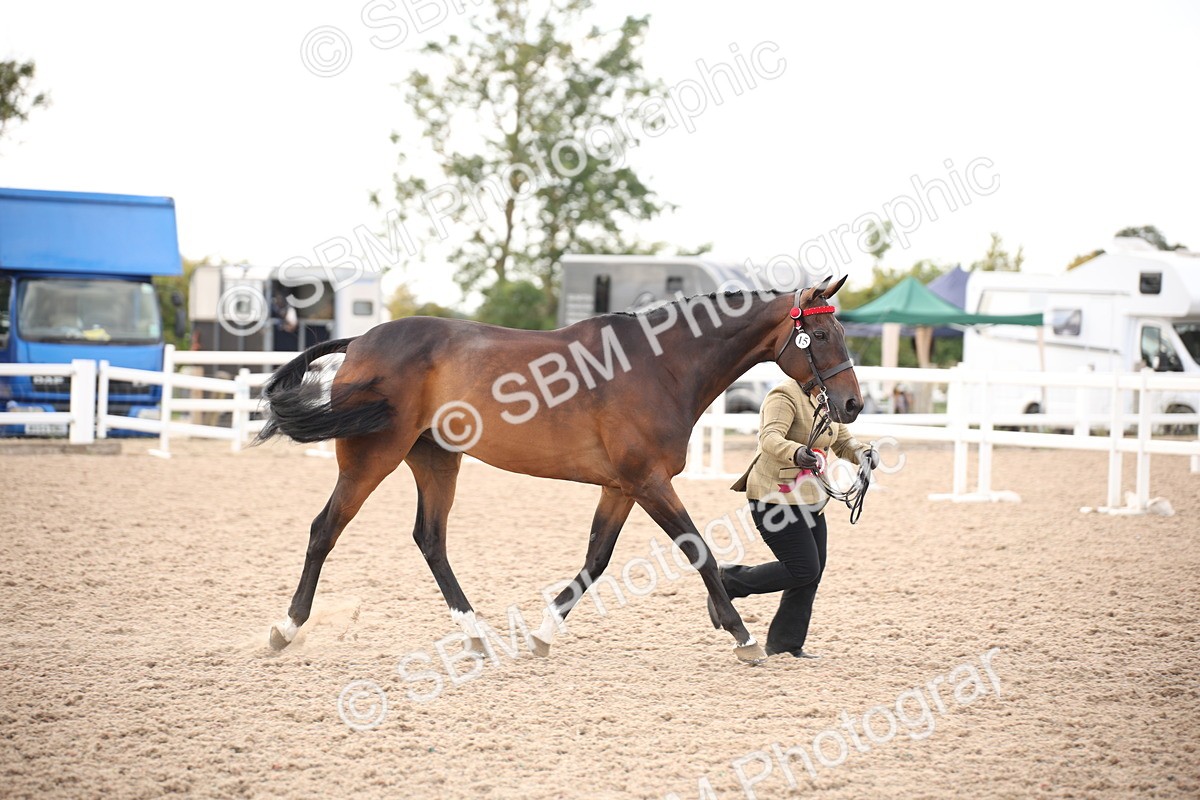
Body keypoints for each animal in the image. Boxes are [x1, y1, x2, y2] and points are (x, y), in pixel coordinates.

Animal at [255, 275, 863, 664]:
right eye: (822, 336)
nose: (852, 405)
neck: (661, 366)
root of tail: (361, 340)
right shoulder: (648, 482)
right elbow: (699, 551)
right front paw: (741, 636)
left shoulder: (622, 486)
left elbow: (596, 559)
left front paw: (544, 635)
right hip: (371, 457)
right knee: (325, 530)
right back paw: (285, 629)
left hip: (436, 459)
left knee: (429, 538)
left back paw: (476, 635)